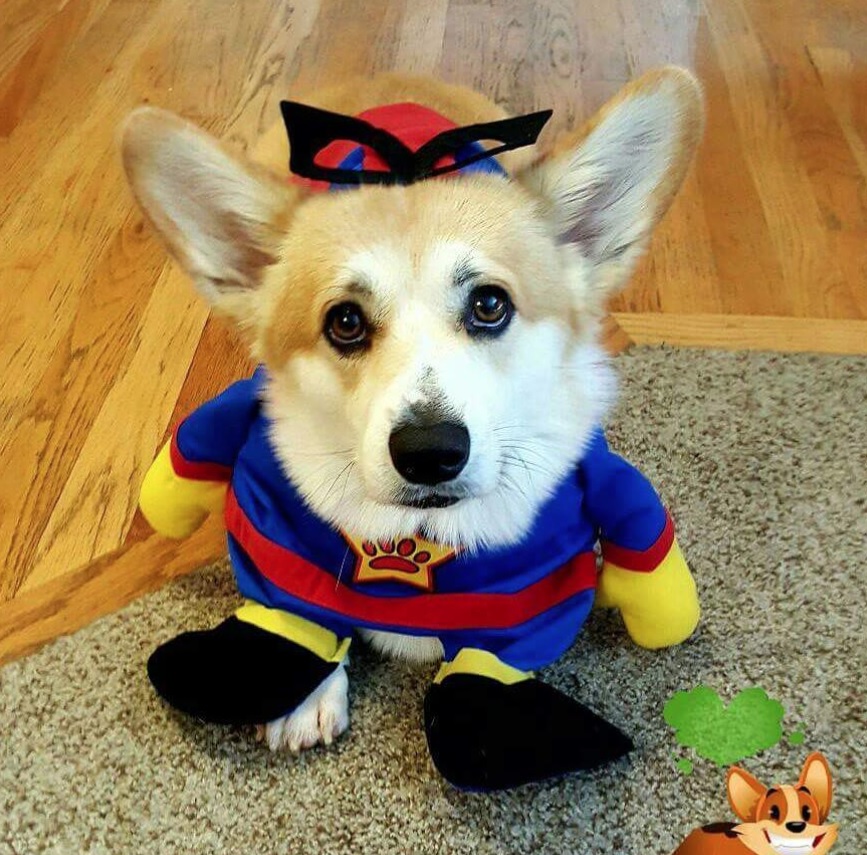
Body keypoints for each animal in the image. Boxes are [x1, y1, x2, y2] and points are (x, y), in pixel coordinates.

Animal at [122, 70, 704, 792]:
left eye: (489, 304)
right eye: (344, 321)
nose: (430, 453)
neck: (417, 536)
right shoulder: (278, 527)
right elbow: (295, 602)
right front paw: (304, 692)